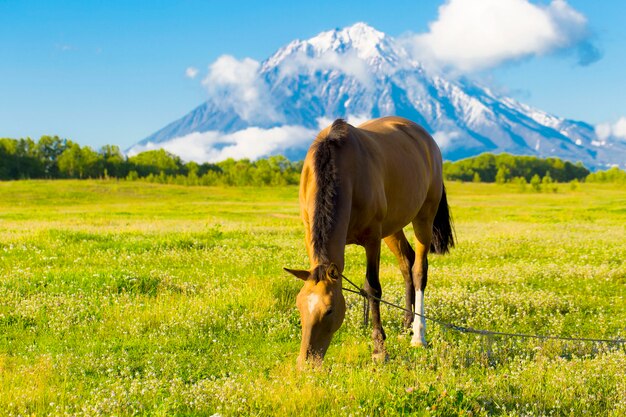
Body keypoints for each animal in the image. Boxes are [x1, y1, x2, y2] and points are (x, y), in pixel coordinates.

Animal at [284, 114, 454, 364]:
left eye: (329, 310)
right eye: (299, 306)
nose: (306, 363)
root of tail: (427, 140)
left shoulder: (372, 238)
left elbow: (372, 288)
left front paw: (378, 348)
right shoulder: (309, 233)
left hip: (424, 217)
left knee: (418, 270)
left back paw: (418, 335)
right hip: (393, 227)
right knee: (407, 262)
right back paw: (406, 324)